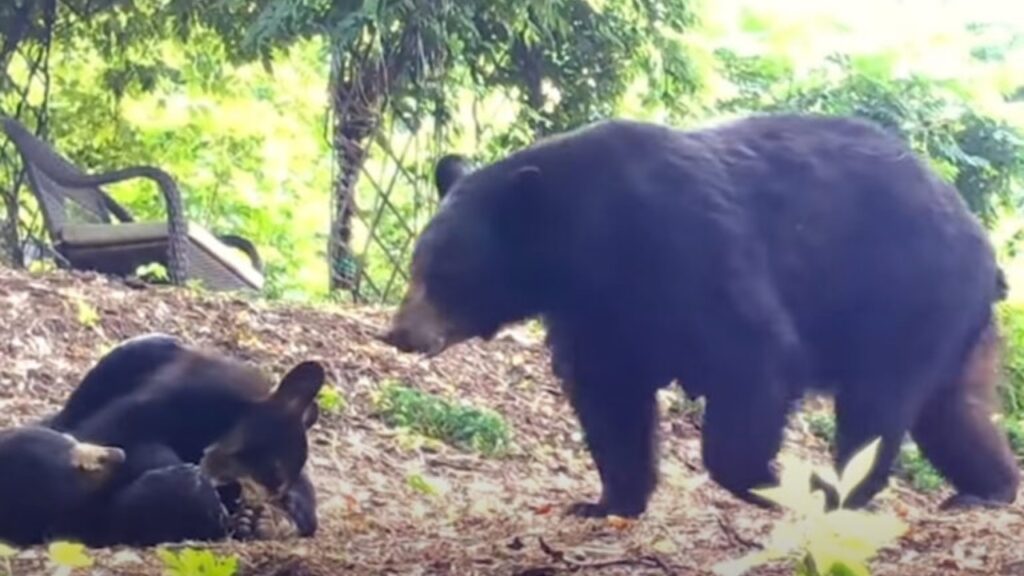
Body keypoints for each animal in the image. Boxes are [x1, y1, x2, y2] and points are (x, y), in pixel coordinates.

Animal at [382, 113, 1015, 516]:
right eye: (417, 262)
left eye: (447, 272)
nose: (399, 333)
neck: (592, 241)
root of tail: (985, 251)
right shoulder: (597, 312)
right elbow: (610, 394)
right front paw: (605, 501)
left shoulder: (690, 248)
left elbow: (753, 354)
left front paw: (767, 479)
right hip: (952, 326)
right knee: (951, 411)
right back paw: (989, 488)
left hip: (903, 296)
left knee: (877, 405)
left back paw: (841, 489)